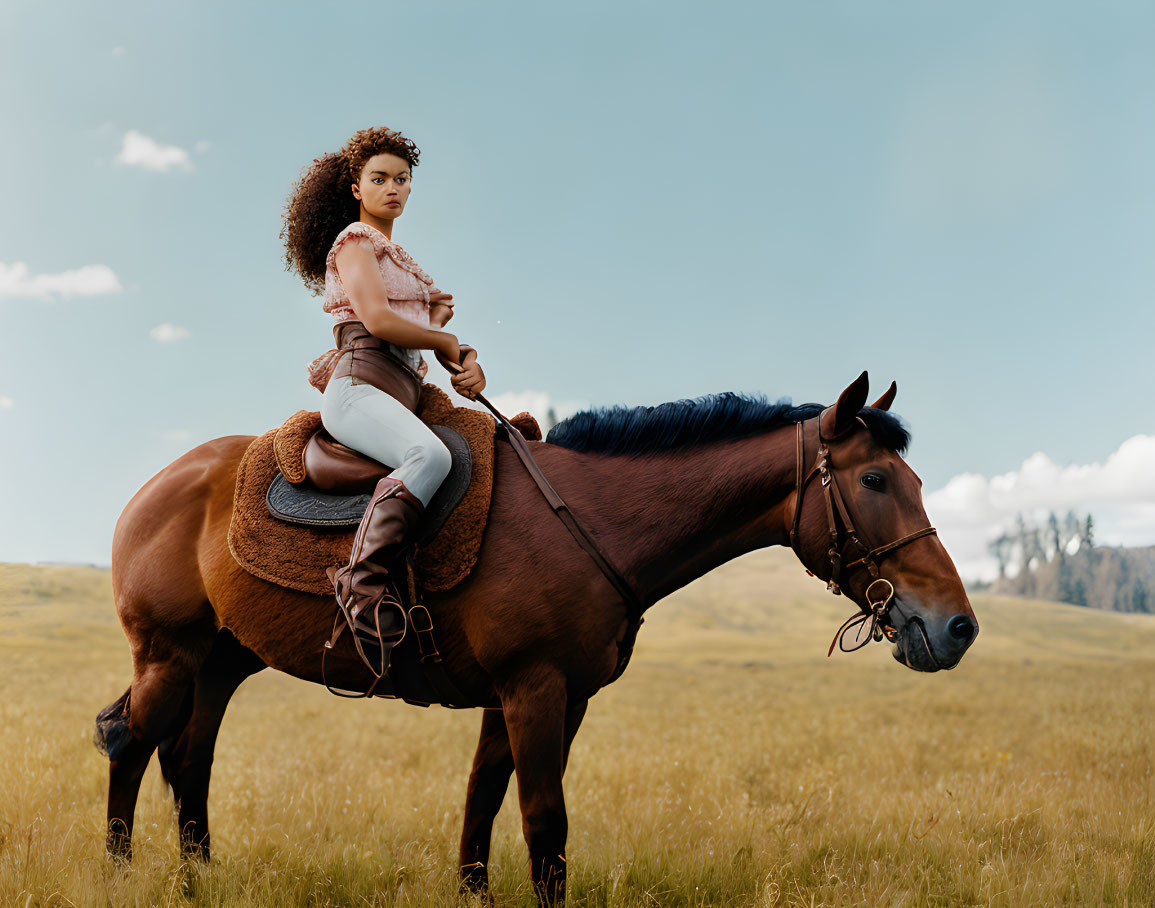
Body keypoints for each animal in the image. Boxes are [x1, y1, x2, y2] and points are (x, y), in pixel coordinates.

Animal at [99, 371, 974, 901]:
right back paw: (120, 871)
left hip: (222, 663)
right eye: (873, 479)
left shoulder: (540, 696)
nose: (957, 626)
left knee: (189, 760)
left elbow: (483, 803)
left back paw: (197, 881)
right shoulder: (533, 689)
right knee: (131, 740)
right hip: (169, 654)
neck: (589, 522)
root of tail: (156, 486)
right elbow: (543, 823)